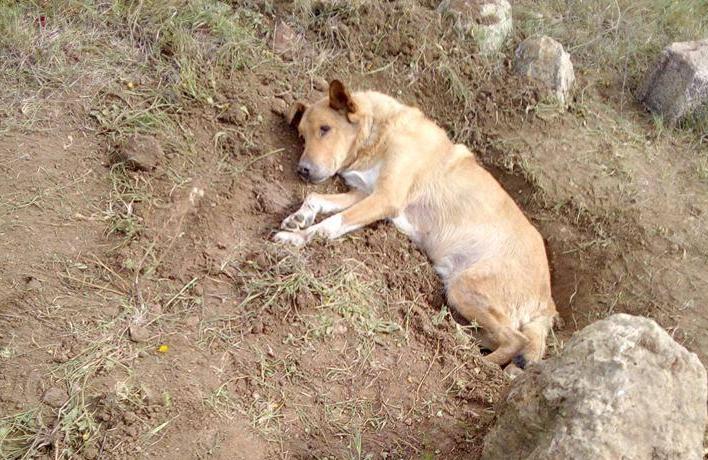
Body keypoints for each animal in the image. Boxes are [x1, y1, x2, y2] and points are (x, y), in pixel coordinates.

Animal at [276, 80, 560, 370]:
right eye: (302, 136)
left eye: (325, 129)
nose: (302, 170)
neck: (380, 134)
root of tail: (547, 301)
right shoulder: (364, 193)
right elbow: (316, 198)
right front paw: (299, 218)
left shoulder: (384, 198)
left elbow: (330, 224)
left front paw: (298, 238)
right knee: (497, 337)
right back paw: (461, 337)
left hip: (464, 288)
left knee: (515, 340)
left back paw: (477, 363)